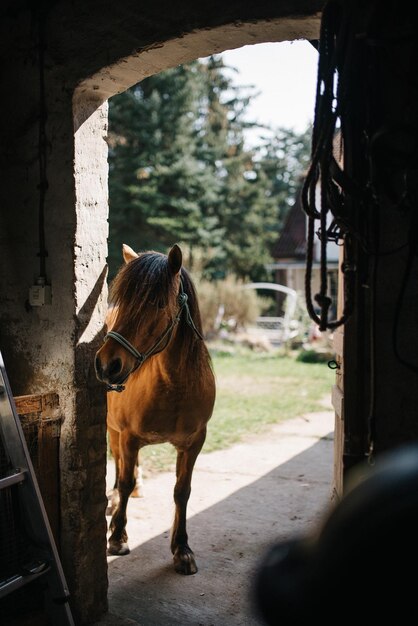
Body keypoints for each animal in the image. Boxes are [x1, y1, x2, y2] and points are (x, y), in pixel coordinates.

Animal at [95, 241, 216, 572]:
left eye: (158, 304)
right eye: (123, 299)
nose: (106, 365)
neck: (174, 388)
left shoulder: (194, 443)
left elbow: (182, 491)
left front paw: (181, 548)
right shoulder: (128, 436)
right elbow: (124, 480)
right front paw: (118, 537)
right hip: (113, 430)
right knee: (119, 464)